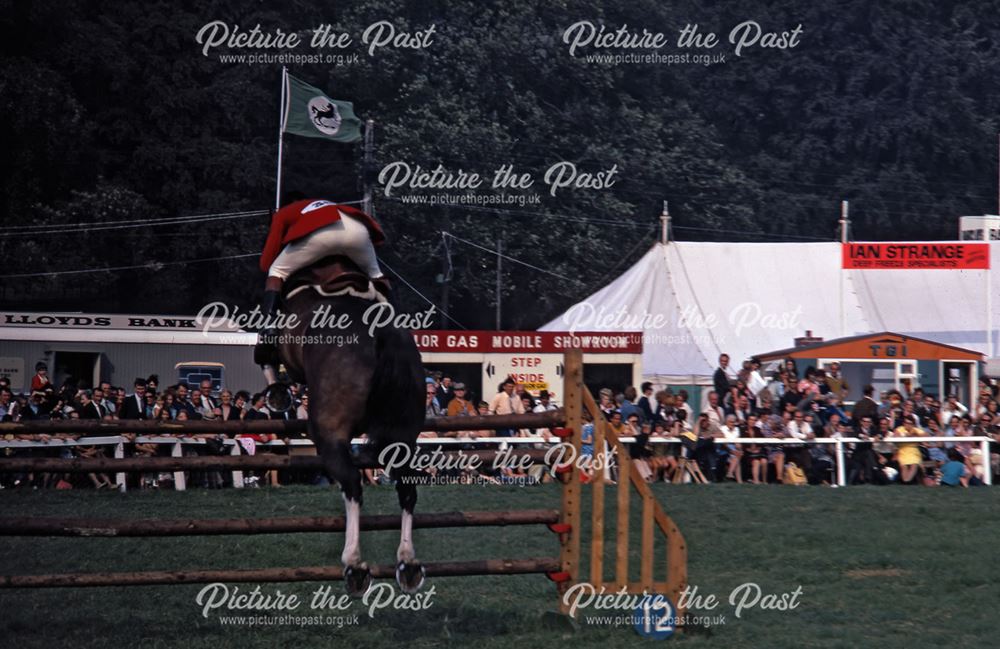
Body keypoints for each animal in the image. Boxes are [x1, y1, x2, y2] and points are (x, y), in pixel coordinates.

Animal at [274, 256, 426, 596]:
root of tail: (381, 335)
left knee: (352, 483)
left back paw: (354, 564)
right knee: (407, 488)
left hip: (330, 435)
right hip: (403, 437)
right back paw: (407, 563)